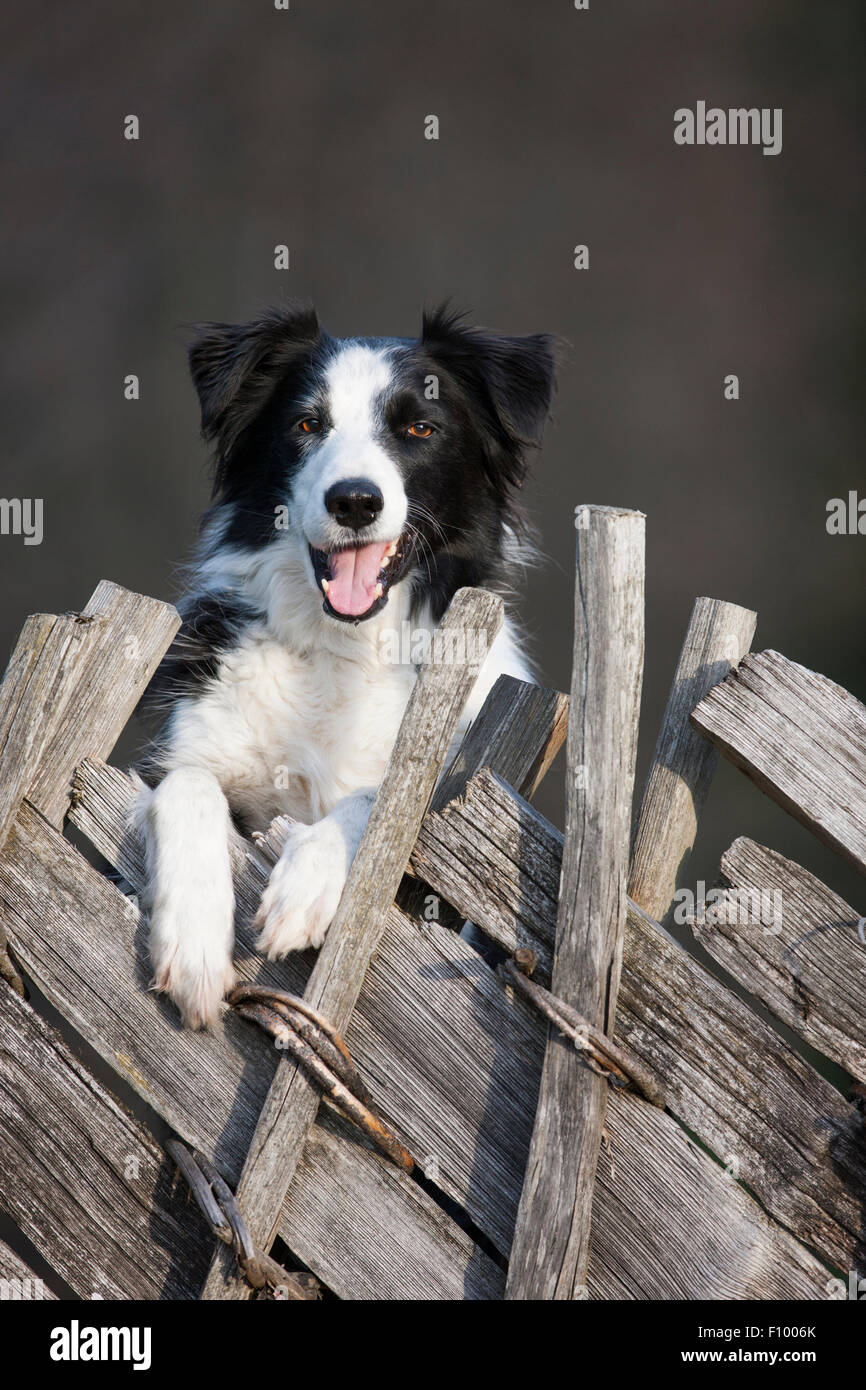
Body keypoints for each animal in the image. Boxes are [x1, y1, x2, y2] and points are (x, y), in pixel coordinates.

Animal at [135, 301, 556, 1023]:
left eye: (420, 427)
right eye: (308, 423)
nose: (355, 500)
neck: (342, 648)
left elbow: (375, 801)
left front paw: (307, 884)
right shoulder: (186, 747)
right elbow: (186, 786)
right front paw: (192, 941)